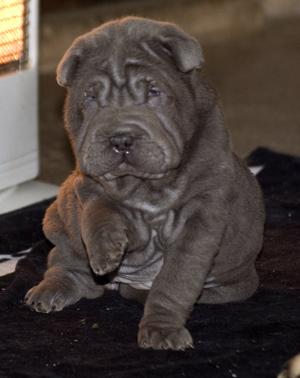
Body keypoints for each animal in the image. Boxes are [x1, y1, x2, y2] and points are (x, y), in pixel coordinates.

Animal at [25, 17, 264, 348]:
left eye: (153, 92)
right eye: (90, 97)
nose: (120, 139)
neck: (143, 187)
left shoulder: (201, 216)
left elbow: (176, 279)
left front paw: (161, 330)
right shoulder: (87, 184)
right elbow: (98, 211)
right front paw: (106, 251)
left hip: (234, 282)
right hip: (59, 216)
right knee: (66, 263)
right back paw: (49, 291)